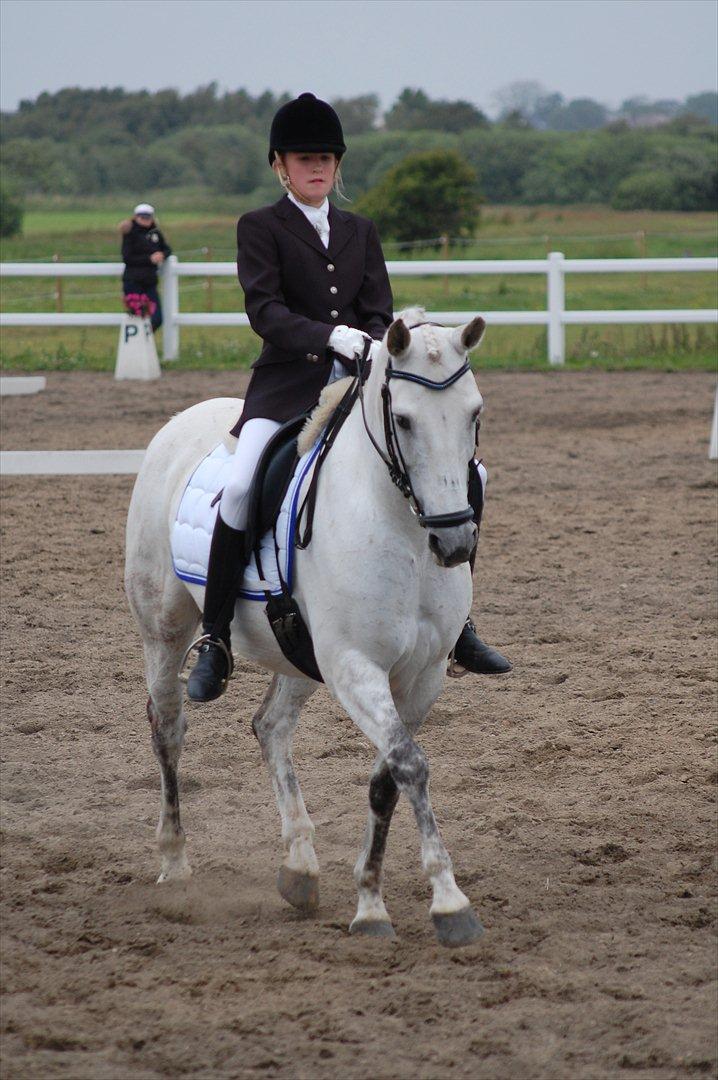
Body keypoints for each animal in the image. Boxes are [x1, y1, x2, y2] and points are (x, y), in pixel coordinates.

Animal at [125, 308, 488, 947]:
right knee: (168, 728)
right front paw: (447, 902)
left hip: (298, 652)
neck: (402, 531)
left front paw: (370, 902)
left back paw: (299, 865)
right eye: (403, 419)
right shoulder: (354, 665)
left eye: (474, 414)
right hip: (164, 633)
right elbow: (411, 765)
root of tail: (180, 422)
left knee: (269, 726)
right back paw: (174, 862)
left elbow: (388, 774)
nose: (454, 542)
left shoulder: (422, 676)